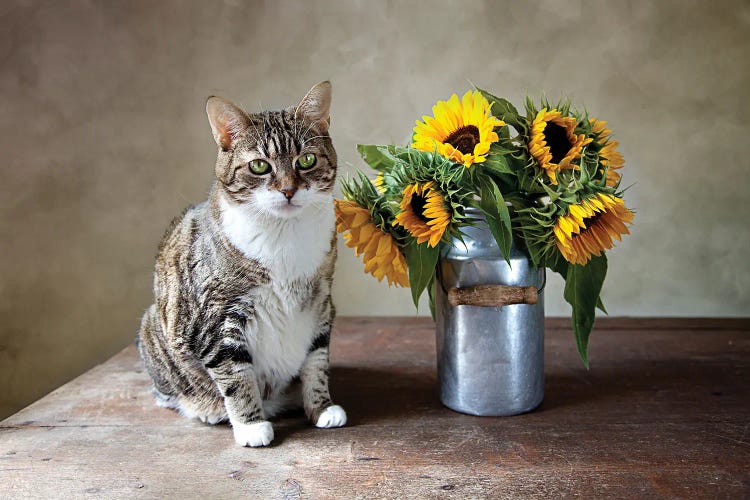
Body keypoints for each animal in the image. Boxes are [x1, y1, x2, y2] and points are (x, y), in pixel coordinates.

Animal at [137, 81, 348, 446]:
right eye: (259, 166)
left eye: (306, 160)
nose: (289, 190)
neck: (283, 234)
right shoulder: (217, 315)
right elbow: (235, 375)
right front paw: (251, 426)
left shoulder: (321, 300)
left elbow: (317, 360)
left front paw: (321, 408)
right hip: (154, 330)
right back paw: (208, 408)